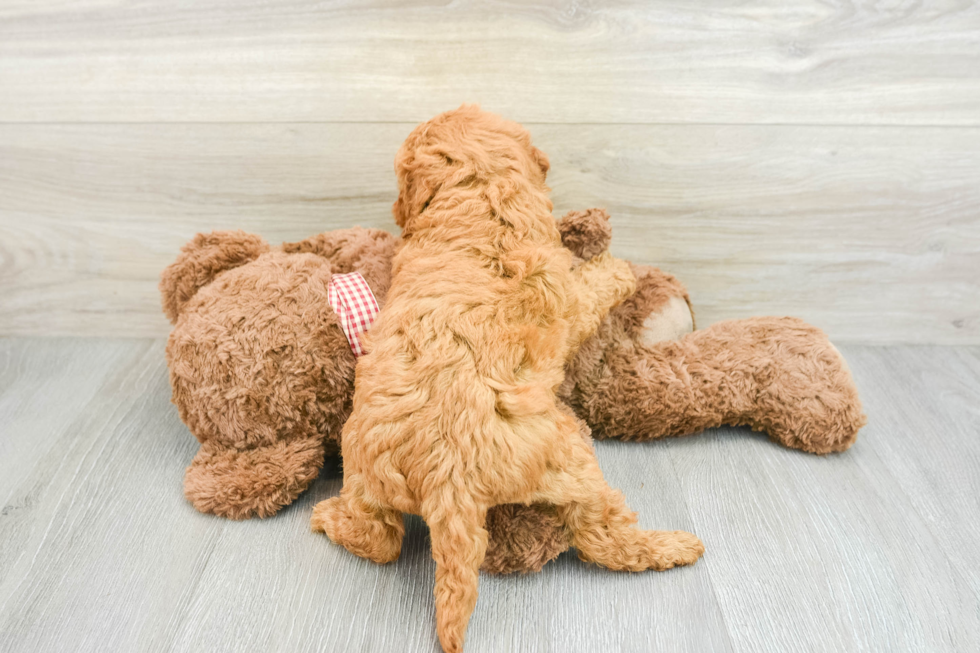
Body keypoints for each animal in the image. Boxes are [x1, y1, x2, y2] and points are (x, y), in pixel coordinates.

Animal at [314, 108, 704, 652]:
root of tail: (446, 478)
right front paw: (618, 269)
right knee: (602, 538)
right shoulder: (570, 299)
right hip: (570, 460)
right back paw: (673, 545)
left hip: (364, 473)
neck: (478, 185)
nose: (394, 209)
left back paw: (328, 518)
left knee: (378, 541)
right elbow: (592, 285)